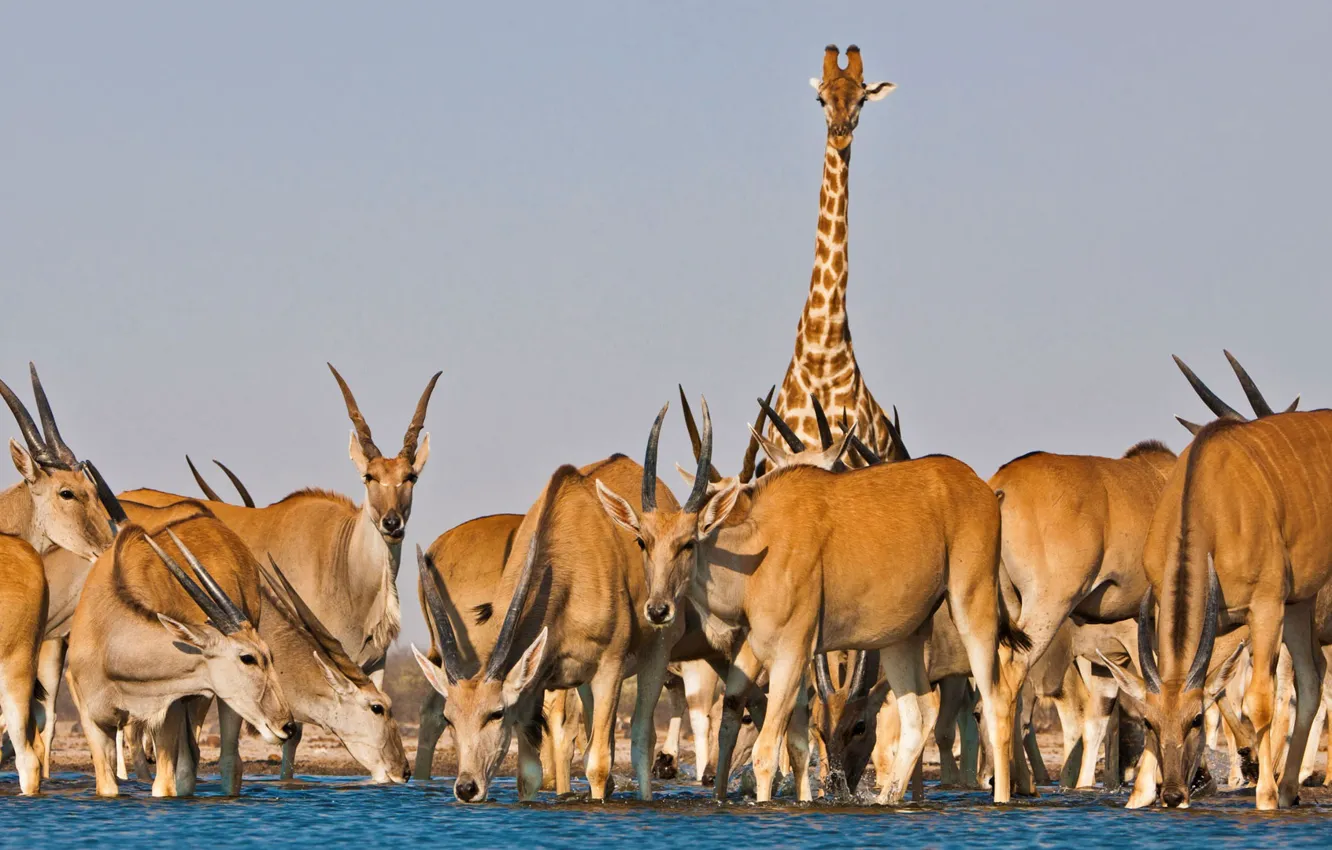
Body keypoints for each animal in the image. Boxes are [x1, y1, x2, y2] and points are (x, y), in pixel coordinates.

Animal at [66, 504, 295, 797]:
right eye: (248, 658)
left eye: (270, 657)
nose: (287, 725)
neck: (106, 635)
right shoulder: (94, 723)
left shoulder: (168, 712)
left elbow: (165, 786)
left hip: (221, 702)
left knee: (224, 762)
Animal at [120, 363, 439, 773]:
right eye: (369, 477)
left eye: (410, 477)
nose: (392, 523)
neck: (343, 563)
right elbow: (293, 736)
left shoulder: (371, 666)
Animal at [413, 449, 708, 803]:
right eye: (451, 718)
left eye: (496, 713)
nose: (466, 787)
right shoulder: (534, 685)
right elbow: (530, 774)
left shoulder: (609, 669)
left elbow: (598, 764)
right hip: (584, 683)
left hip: (655, 657)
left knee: (640, 739)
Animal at [595, 398, 1028, 804]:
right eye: (642, 541)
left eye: (688, 543)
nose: (658, 610)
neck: (757, 549)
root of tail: (979, 486)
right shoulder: (754, 650)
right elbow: (744, 719)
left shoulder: (792, 652)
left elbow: (768, 749)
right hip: (899, 638)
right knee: (919, 715)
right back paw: (887, 801)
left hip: (971, 607)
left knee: (997, 700)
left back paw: (1000, 799)